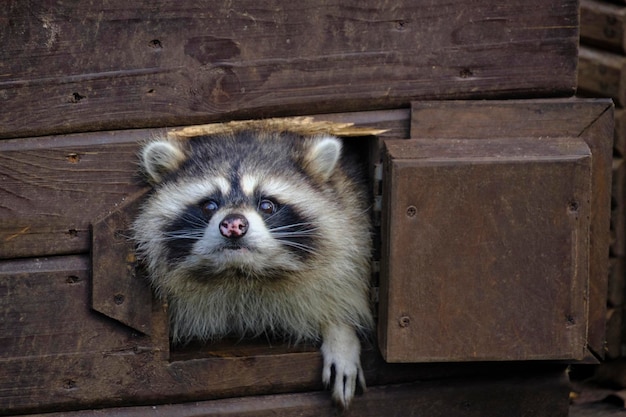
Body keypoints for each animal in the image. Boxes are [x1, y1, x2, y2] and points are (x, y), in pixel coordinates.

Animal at [132, 127, 372, 406]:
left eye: (267, 205)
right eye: (209, 205)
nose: (233, 225)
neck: (241, 275)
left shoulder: (353, 222)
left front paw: (341, 332)